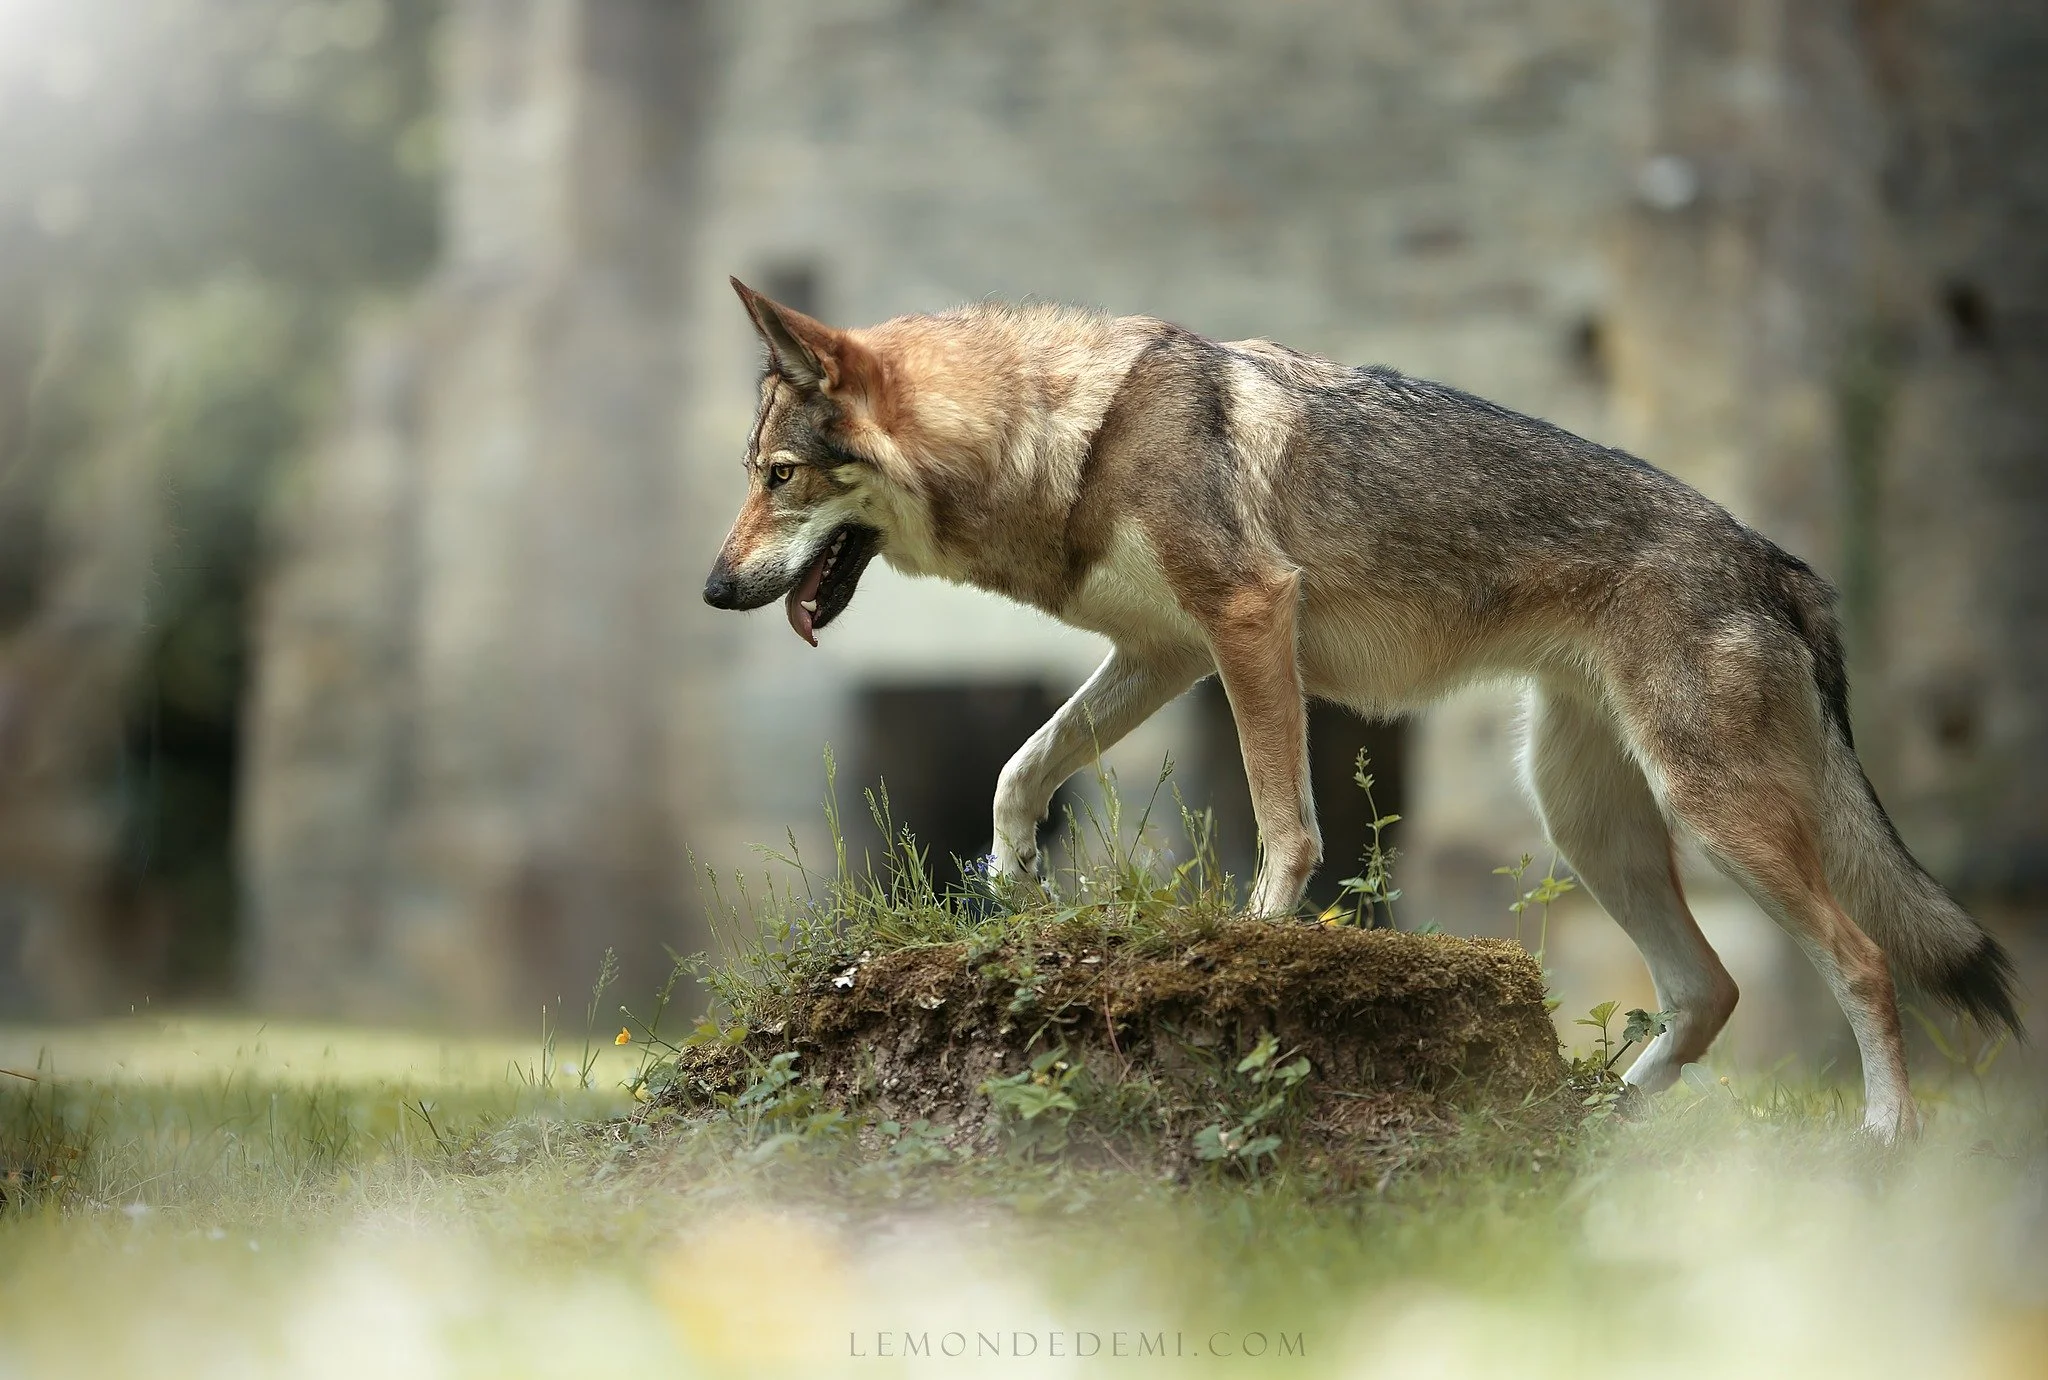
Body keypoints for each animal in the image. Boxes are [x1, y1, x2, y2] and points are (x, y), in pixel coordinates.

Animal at [703, 278, 2021, 1137]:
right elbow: (1020, 767)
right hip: (1589, 823)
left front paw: (1257, 938)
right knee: (1707, 993)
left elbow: (1283, 823)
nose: (713, 590)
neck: (1061, 435)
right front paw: (1013, 878)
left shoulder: (1246, 623)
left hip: (1707, 814)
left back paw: (1881, 1147)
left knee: (1860, 963)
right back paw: (1593, 1143)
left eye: (778, 478)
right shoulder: (1161, 655)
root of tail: (1776, 562)